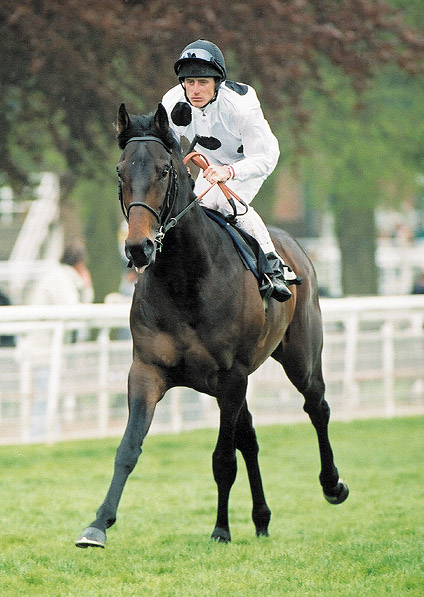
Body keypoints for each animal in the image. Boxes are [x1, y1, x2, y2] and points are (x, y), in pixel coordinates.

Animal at [74, 103, 350, 548]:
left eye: (164, 170)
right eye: (120, 170)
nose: (138, 247)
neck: (186, 281)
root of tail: (297, 247)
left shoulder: (231, 376)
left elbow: (223, 459)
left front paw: (221, 529)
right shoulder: (147, 371)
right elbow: (128, 448)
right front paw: (97, 525)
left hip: (301, 356)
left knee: (317, 406)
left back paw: (332, 485)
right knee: (250, 437)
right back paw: (261, 518)